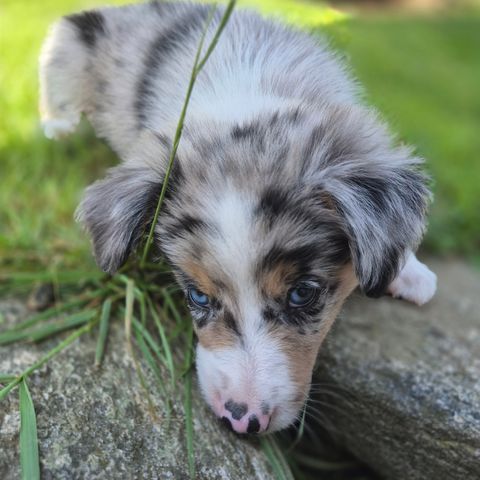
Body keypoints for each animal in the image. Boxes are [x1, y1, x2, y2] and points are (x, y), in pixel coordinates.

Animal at [39, 0, 436, 436]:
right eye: (197, 296)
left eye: (303, 294)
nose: (241, 421)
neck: (245, 95)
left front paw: (411, 274)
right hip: (68, 44)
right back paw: (57, 127)